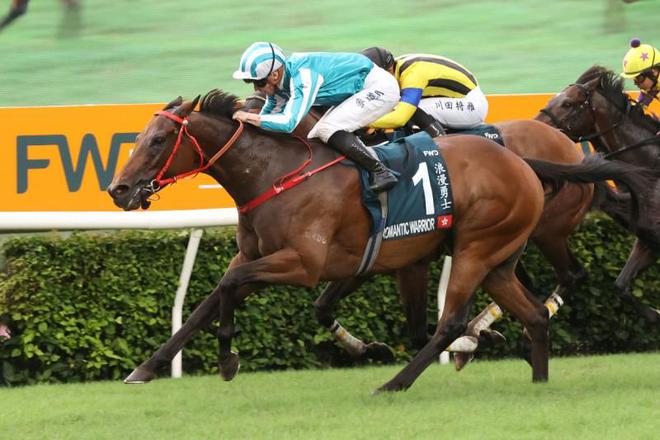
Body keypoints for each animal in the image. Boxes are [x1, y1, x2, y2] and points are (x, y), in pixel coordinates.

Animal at [108, 90, 653, 392]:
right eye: (138, 138)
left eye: (159, 141)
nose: (120, 189)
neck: (278, 173)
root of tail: (528, 162)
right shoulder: (273, 256)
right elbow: (208, 301)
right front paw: (146, 368)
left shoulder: (304, 263)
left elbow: (231, 287)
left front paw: (226, 359)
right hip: (499, 258)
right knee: (534, 314)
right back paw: (532, 376)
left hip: (480, 248)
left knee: (456, 318)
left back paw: (398, 381)